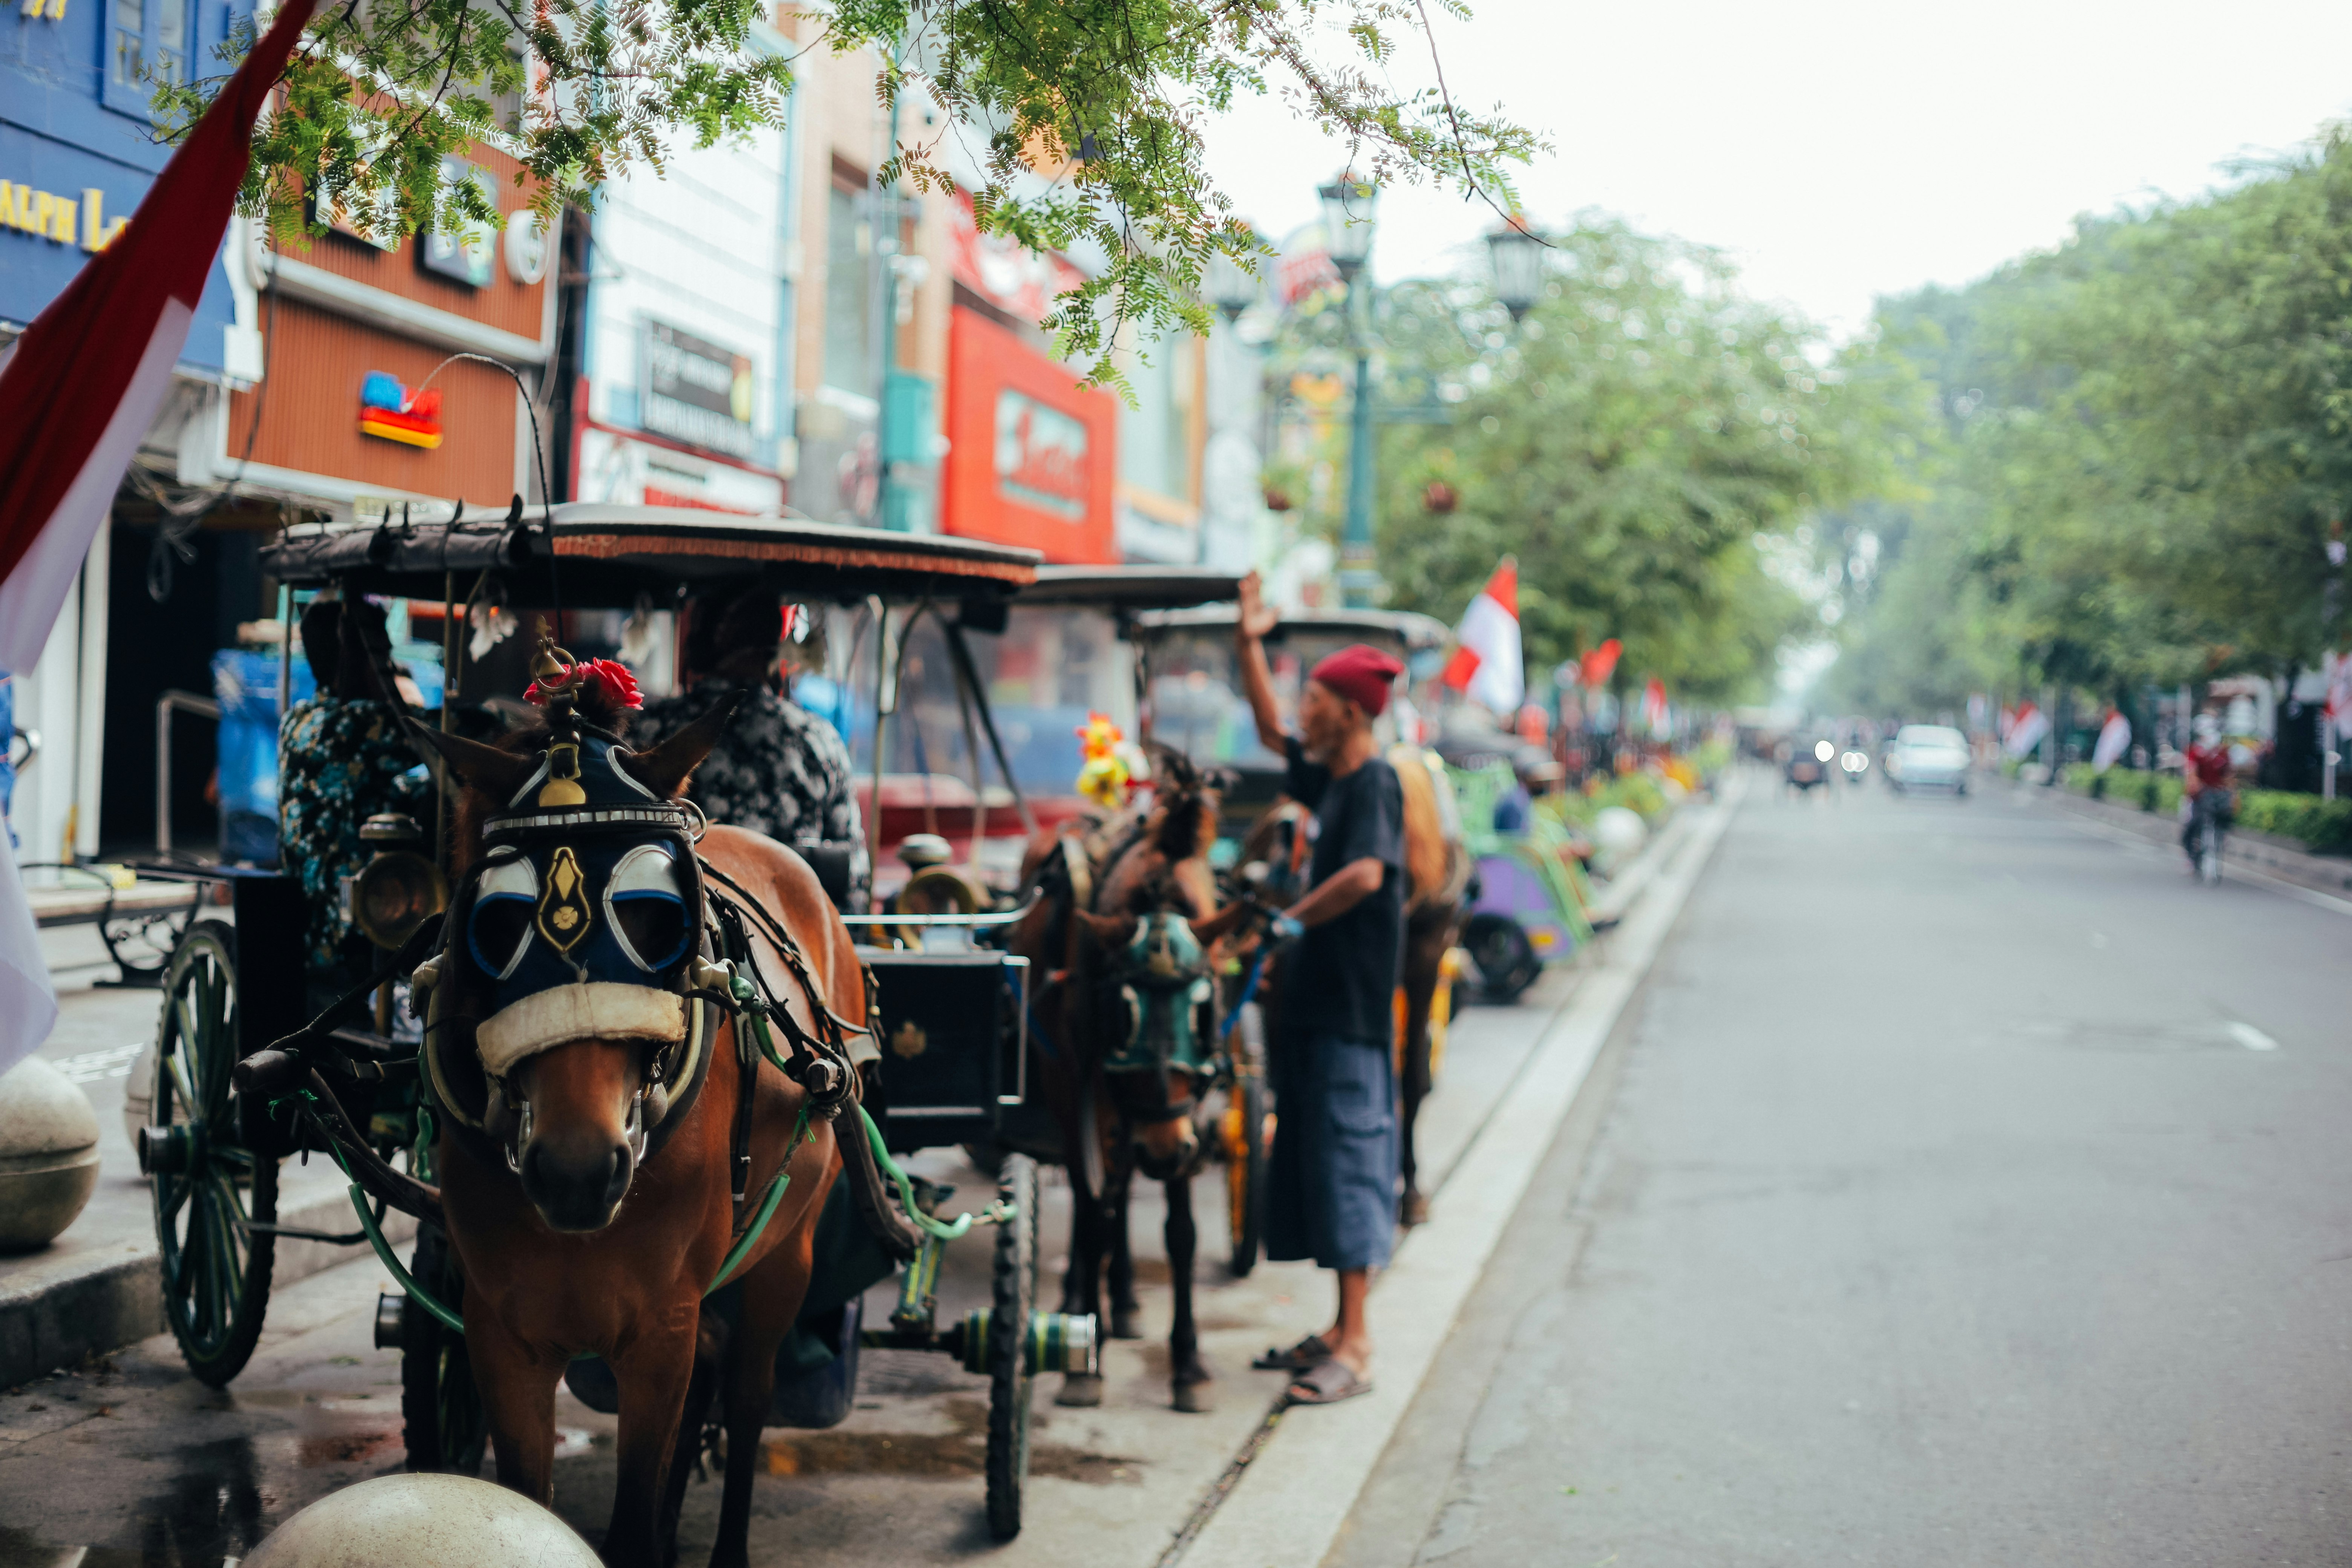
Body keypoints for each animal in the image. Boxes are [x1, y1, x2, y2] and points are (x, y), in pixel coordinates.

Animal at [421, 700, 865, 1568]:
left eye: (656, 914)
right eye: (497, 919)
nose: (577, 1169)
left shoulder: (659, 1329)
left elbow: (626, 1526)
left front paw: (651, 1529)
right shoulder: (500, 1333)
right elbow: (527, 1504)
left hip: (785, 1253)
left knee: (748, 1392)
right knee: (713, 1371)